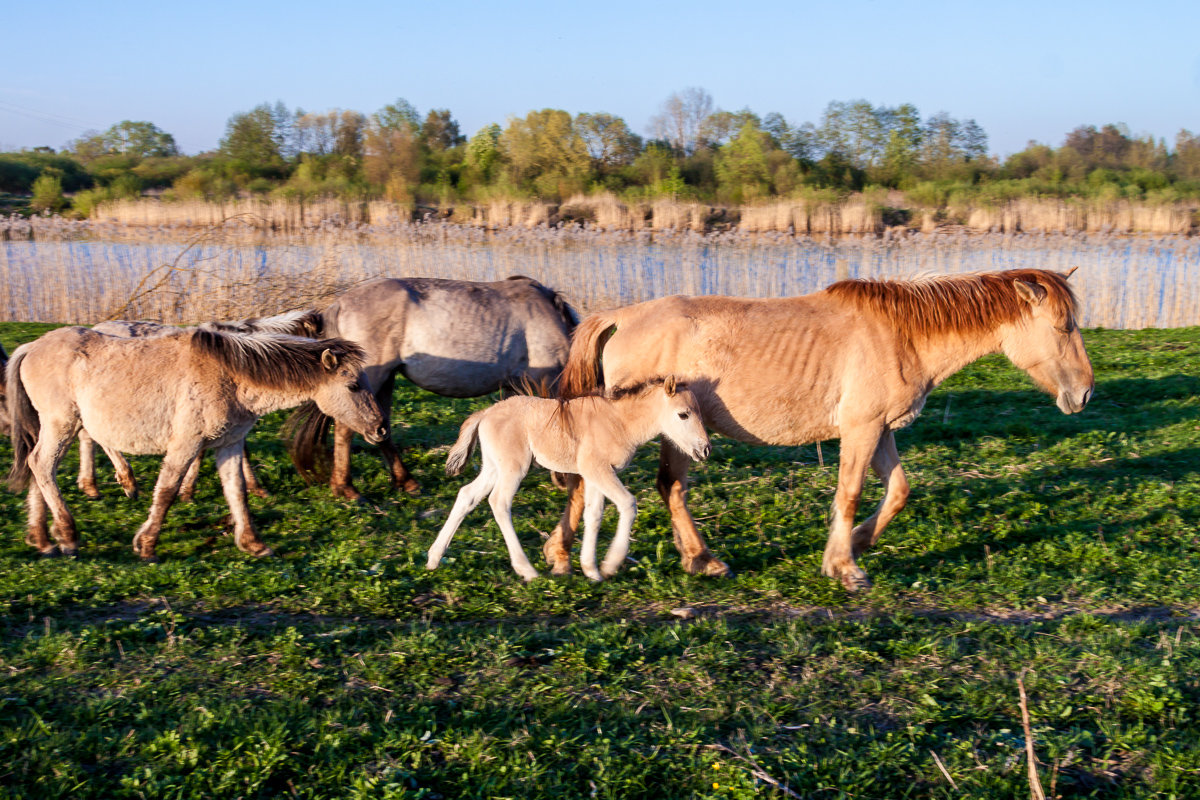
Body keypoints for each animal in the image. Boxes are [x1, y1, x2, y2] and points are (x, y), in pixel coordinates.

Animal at [5, 323, 384, 556]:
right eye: (353, 385)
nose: (380, 428)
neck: (230, 376)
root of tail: (32, 346)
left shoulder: (228, 445)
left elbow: (237, 492)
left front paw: (253, 543)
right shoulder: (185, 444)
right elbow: (167, 491)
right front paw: (146, 544)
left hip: (53, 427)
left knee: (38, 469)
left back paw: (42, 538)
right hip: (62, 424)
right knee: (42, 466)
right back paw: (68, 536)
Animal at [427, 376, 705, 582]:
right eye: (683, 414)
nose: (705, 449)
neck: (619, 421)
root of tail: (485, 412)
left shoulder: (594, 474)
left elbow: (593, 515)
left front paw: (592, 570)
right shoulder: (598, 470)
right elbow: (628, 503)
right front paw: (610, 564)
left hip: (493, 466)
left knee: (467, 495)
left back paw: (433, 558)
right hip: (513, 467)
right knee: (499, 502)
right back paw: (527, 570)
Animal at [554, 268, 1099, 587]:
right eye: (1063, 326)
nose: (1085, 393)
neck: (901, 334)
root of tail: (623, 316)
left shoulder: (881, 429)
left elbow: (897, 491)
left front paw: (856, 543)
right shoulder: (860, 429)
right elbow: (850, 493)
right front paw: (844, 565)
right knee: (664, 486)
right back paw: (698, 559)